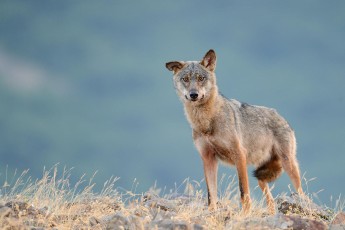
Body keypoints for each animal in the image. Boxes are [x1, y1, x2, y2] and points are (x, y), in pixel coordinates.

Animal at [165, 49, 302, 214]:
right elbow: (211, 194)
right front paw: (212, 212)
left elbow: (243, 191)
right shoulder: (208, 158)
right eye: (185, 79)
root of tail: (283, 118)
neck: (207, 122)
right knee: (271, 202)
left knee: (301, 192)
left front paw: (245, 214)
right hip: (261, 178)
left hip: (288, 164)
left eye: (201, 78)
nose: (193, 94)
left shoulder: (239, 155)